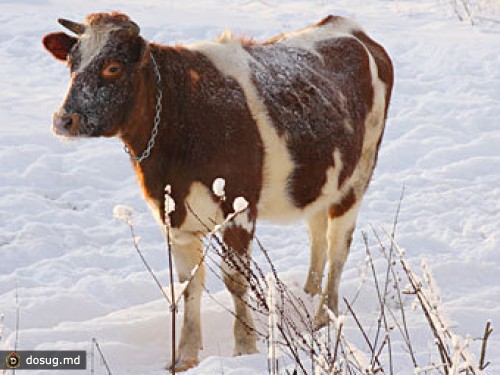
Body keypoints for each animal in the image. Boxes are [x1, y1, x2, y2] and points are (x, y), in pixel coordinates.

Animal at [43, 11, 394, 374]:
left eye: (112, 67)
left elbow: (235, 280)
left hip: (358, 176)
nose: (63, 120)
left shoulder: (240, 209)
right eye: (72, 63)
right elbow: (188, 284)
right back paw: (309, 298)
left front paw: (245, 348)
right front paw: (184, 356)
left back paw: (324, 316)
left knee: (338, 246)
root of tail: (345, 25)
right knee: (317, 234)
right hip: (320, 180)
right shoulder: (173, 217)